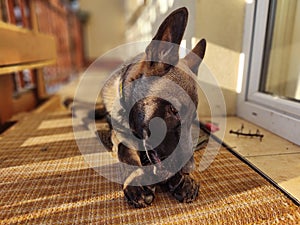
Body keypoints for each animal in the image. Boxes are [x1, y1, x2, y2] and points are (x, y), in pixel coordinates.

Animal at [101, 7, 206, 207]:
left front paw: (184, 180)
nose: (189, 170)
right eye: (174, 111)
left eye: (192, 119)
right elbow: (124, 151)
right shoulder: (118, 135)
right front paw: (137, 180)